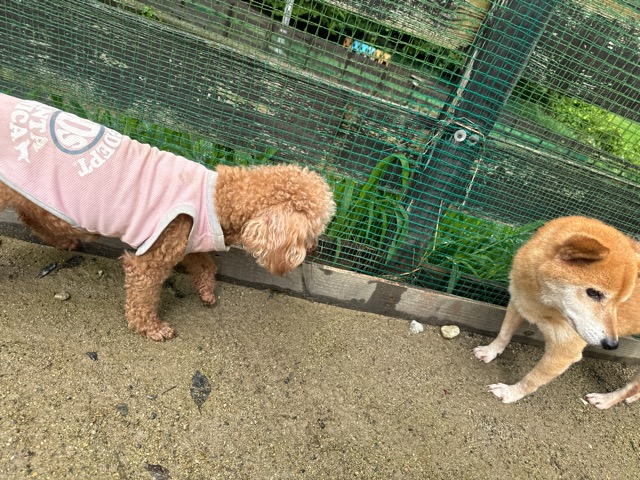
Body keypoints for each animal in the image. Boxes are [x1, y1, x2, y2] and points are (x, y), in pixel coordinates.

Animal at [0, 94, 335, 341]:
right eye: (314, 230)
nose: (314, 249)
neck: (217, 198)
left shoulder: (187, 240)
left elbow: (205, 264)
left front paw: (207, 292)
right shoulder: (151, 258)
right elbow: (143, 296)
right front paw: (152, 328)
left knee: (31, 215)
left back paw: (65, 241)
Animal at [474, 216, 640, 409]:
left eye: (621, 302)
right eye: (594, 293)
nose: (612, 345)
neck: (545, 305)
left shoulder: (564, 352)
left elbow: (532, 379)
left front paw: (511, 392)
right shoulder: (518, 304)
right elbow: (503, 335)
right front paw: (490, 351)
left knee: (632, 386)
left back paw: (605, 400)